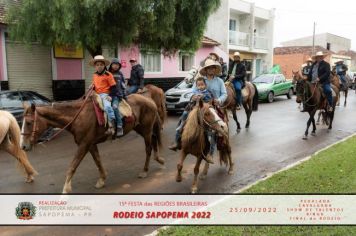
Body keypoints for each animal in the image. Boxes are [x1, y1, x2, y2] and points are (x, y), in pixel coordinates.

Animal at [20, 93, 163, 193]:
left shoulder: (84, 145)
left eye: (29, 123)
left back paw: (144, 171)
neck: (78, 117)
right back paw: (159, 159)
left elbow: (72, 166)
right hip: (141, 129)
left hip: (146, 130)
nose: (23, 146)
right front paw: (102, 180)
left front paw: (65, 190)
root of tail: (149, 100)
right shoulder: (91, 144)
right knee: (154, 139)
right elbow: (98, 161)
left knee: (148, 148)